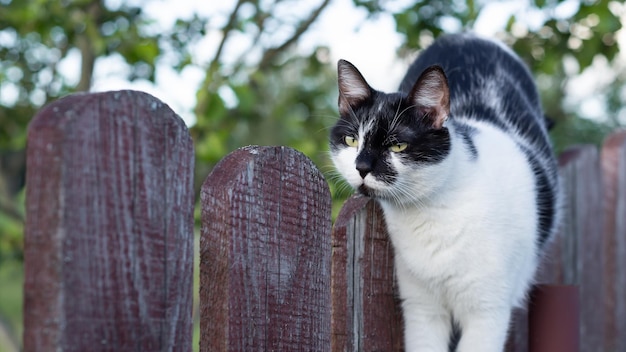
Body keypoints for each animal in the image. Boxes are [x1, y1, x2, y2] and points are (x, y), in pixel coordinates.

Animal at [330, 33, 560, 352]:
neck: (430, 213)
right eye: (352, 140)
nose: (361, 166)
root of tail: (466, 35)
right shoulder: (422, 309)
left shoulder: (487, 313)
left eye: (398, 145)